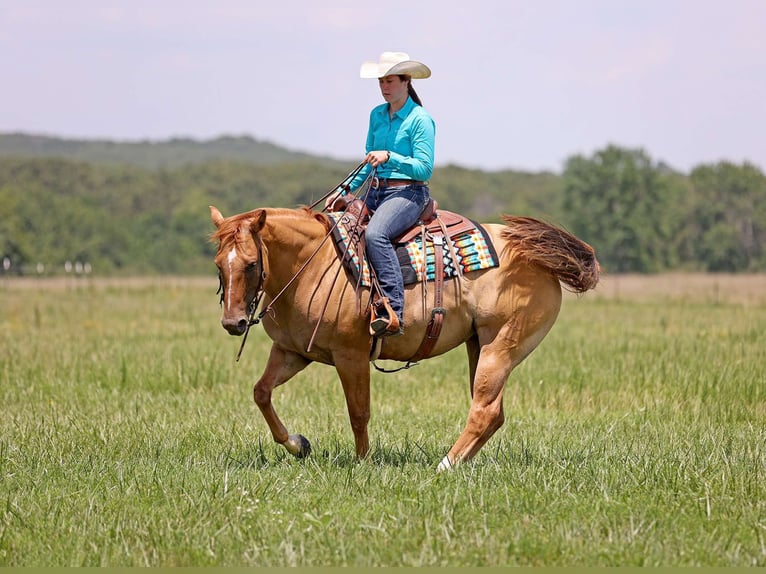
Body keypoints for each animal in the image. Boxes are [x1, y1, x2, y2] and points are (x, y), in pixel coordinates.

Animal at [209, 204, 600, 470]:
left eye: (251, 263)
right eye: (218, 265)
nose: (233, 321)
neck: (314, 265)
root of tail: (534, 253)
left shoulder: (350, 355)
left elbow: (358, 412)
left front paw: (363, 463)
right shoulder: (292, 351)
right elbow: (261, 393)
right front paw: (298, 444)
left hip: (501, 347)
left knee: (484, 411)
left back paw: (444, 466)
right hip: (478, 345)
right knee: (493, 413)